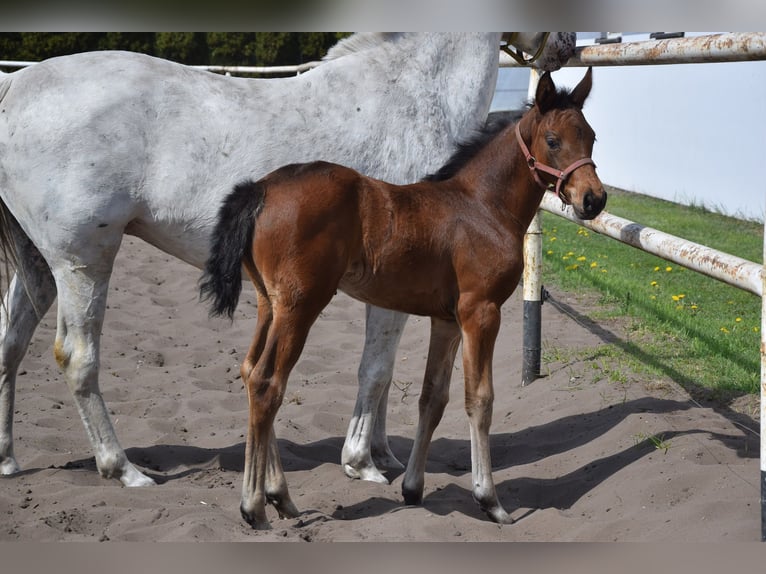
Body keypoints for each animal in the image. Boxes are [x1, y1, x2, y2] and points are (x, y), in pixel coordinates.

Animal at [0, 33, 576, 488]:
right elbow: (375, 369)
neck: (414, 94)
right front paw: (362, 462)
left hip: (41, 267)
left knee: (10, 344)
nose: (566, 44)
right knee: (78, 357)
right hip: (83, 261)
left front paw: (386, 455)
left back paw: (8, 460)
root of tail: (16, 88)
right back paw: (124, 469)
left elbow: (385, 372)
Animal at [200, 68, 606, 529]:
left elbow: (433, 398)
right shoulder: (480, 312)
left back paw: (278, 496)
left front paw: (413, 488)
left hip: (270, 305)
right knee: (268, 383)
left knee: (251, 372)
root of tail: (261, 188)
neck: (482, 206)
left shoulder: (447, 320)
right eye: (553, 140)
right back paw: (255, 505)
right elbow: (479, 399)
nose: (594, 199)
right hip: (300, 306)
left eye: (591, 137)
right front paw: (490, 500)